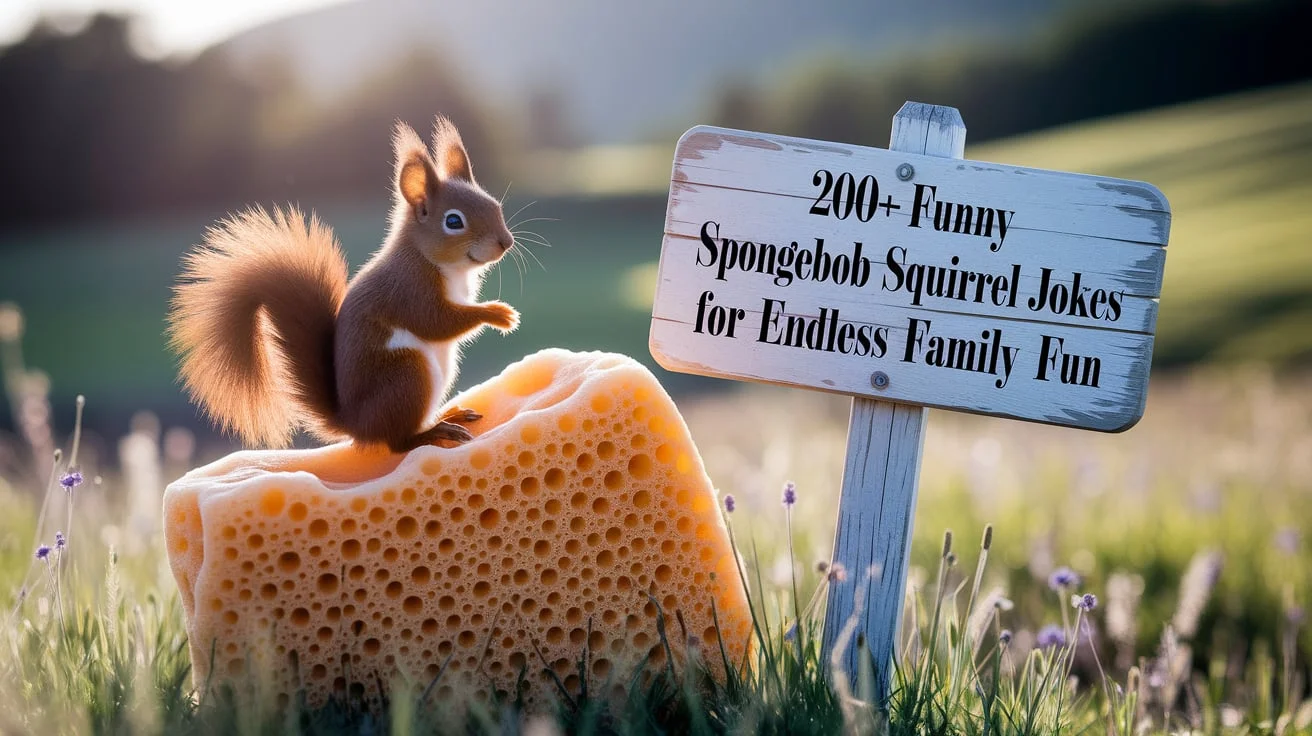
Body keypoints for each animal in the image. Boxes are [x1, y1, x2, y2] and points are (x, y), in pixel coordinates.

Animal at [168, 117, 520, 454]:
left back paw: (447, 415)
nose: (506, 242)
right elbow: (436, 322)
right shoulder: (409, 289)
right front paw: (498, 314)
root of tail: (356, 426)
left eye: (494, 205)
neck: (435, 261)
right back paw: (434, 432)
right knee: (398, 442)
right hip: (407, 374)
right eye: (453, 221)